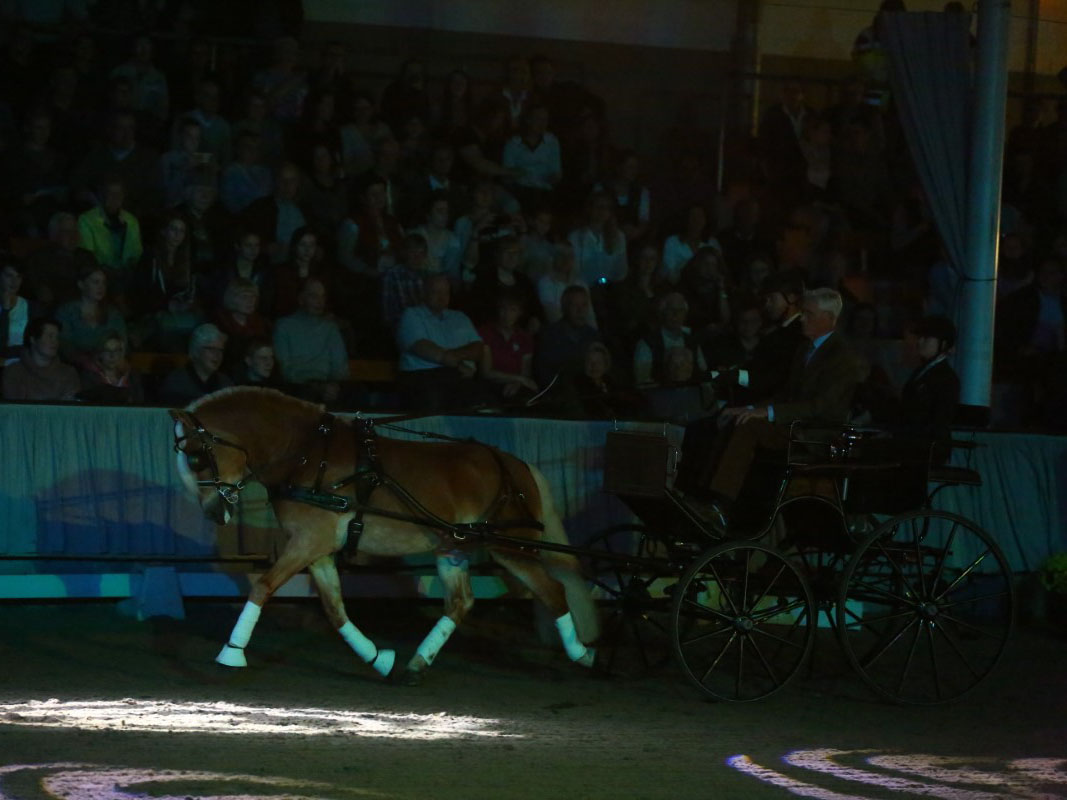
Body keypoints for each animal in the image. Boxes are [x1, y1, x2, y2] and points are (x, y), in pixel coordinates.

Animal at [170, 386, 597, 682]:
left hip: (511, 546)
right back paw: (415, 665)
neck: (308, 455)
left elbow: (262, 587)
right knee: (461, 602)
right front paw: (378, 659)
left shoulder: (311, 540)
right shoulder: (319, 548)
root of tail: (515, 463)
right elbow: (335, 610)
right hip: (454, 545)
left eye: (196, 457)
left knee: (553, 591)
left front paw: (231, 652)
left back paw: (582, 654)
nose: (214, 513)